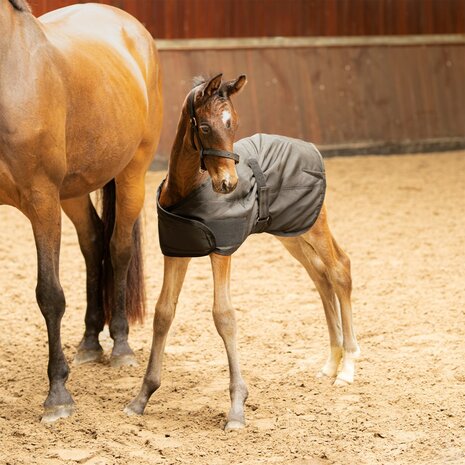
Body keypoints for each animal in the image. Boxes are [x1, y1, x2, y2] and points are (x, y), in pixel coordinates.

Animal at [0, 0, 163, 420]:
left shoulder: (41, 198)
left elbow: (49, 294)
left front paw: (58, 394)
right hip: (71, 191)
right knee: (92, 242)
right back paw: (90, 341)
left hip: (132, 173)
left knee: (118, 249)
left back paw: (120, 346)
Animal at [126, 73, 358, 432]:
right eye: (204, 127)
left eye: (233, 123)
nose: (229, 185)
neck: (187, 189)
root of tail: (311, 148)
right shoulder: (176, 251)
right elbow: (163, 313)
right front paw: (142, 398)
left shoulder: (222, 250)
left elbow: (224, 316)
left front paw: (236, 409)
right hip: (292, 233)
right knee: (320, 277)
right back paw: (331, 363)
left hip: (313, 224)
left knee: (339, 269)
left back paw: (346, 367)